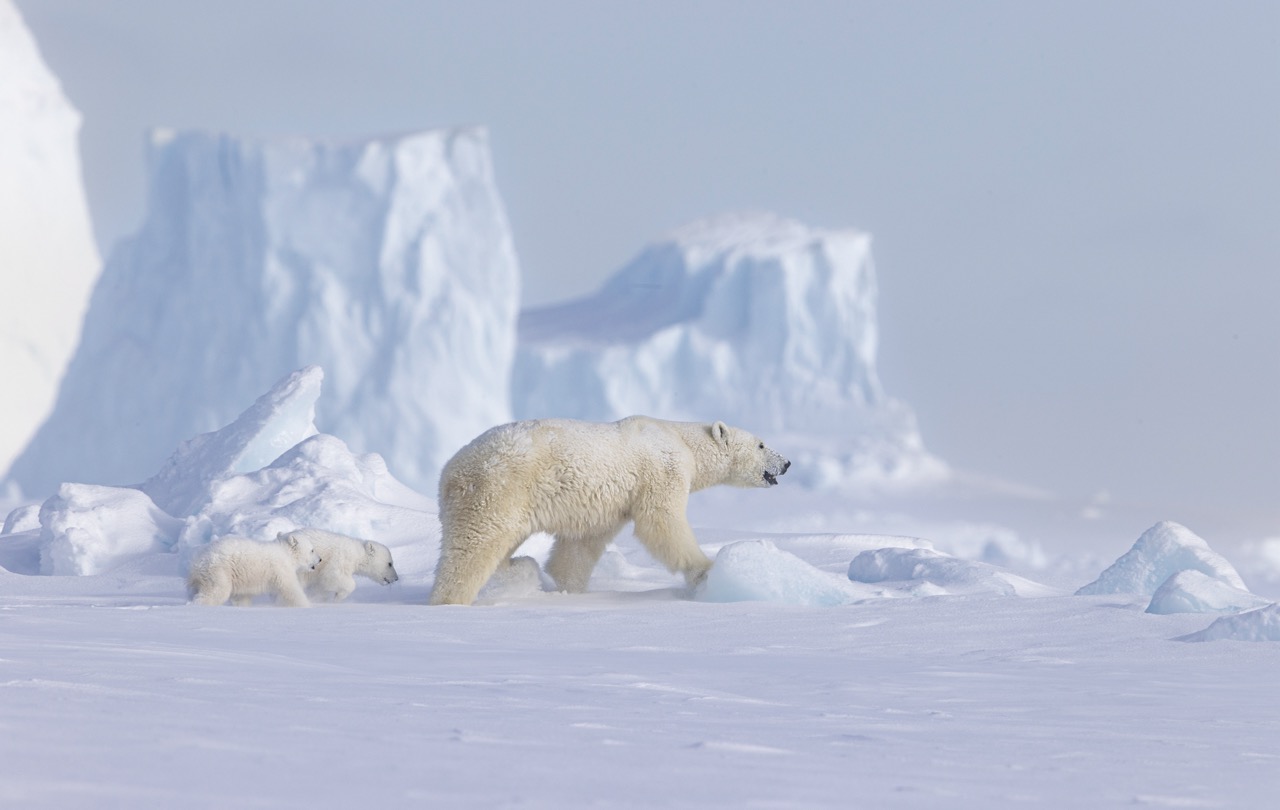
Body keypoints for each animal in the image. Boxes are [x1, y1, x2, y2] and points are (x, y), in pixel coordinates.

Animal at [186, 532, 322, 607]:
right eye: (312, 550)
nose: (320, 559)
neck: (285, 552)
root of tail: (197, 563)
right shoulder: (280, 569)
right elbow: (290, 589)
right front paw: (307, 605)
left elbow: (241, 597)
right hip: (219, 571)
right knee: (217, 591)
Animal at [429, 416, 790, 606]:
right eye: (761, 444)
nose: (786, 463)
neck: (680, 438)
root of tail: (450, 472)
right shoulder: (661, 471)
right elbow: (662, 522)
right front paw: (705, 571)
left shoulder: (607, 503)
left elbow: (581, 546)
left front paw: (568, 588)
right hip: (499, 490)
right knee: (474, 546)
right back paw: (451, 599)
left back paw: (517, 570)